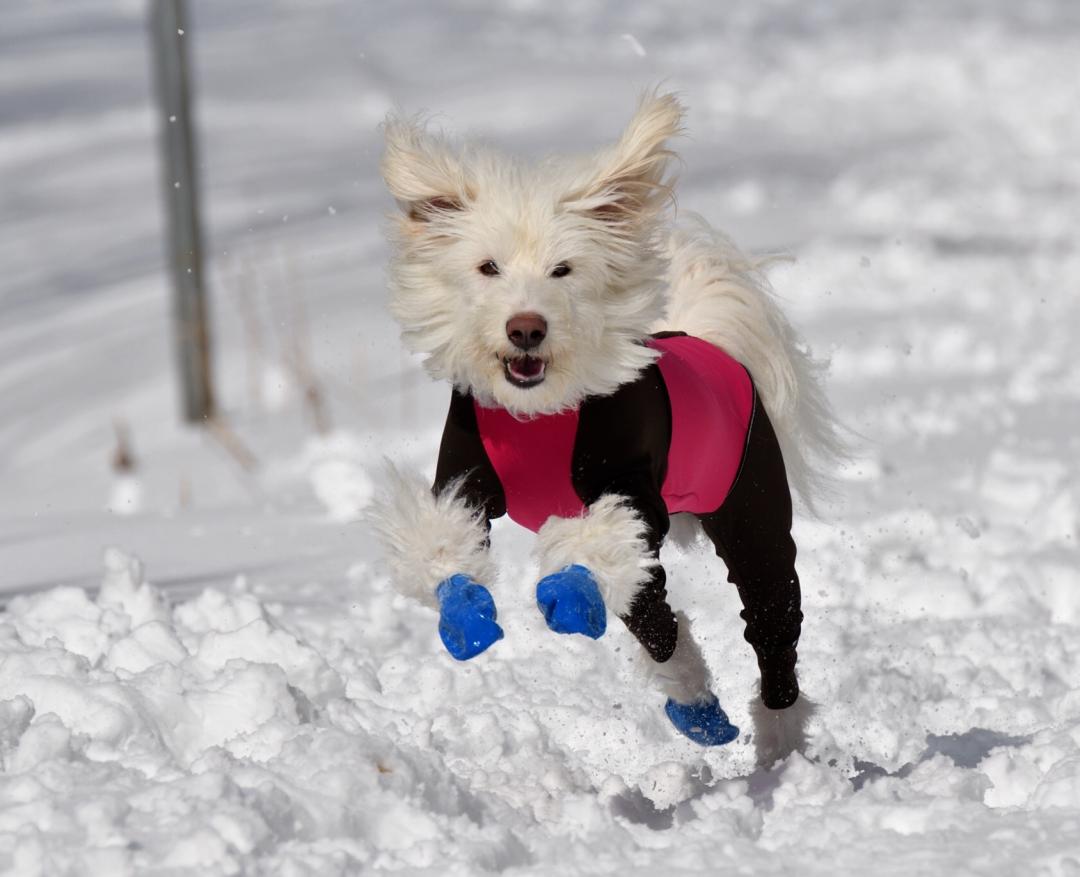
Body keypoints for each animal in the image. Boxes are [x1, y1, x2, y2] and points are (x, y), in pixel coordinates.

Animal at [371, 89, 833, 756]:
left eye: (562, 270)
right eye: (488, 268)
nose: (526, 327)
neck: (543, 411)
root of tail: (711, 340)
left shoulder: (630, 491)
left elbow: (593, 543)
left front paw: (565, 592)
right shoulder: (467, 474)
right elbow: (449, 541)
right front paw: (465, 612)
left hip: (753, 512)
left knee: (770, 621)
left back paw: (779, 744)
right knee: (659, 618)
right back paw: (697, 707)